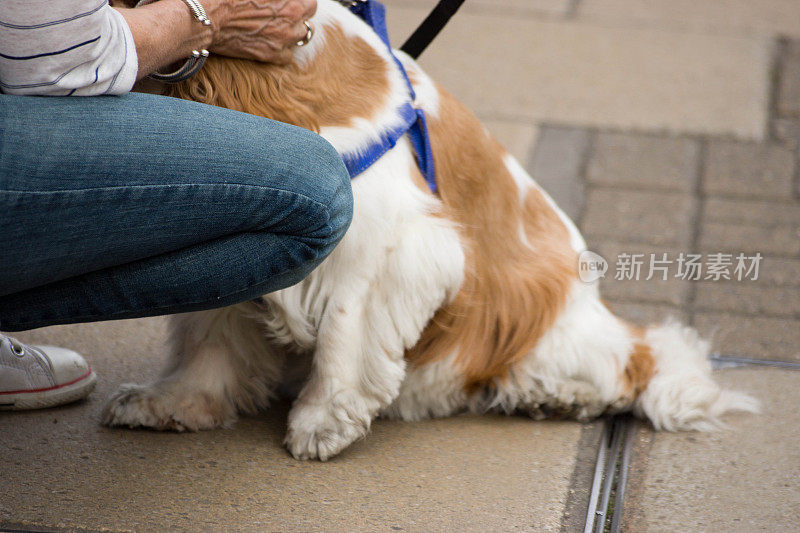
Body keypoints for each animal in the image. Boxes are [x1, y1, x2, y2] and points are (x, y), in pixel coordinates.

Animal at [103, 0, 760, 460]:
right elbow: (208, 336)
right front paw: (173, 402)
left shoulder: (385, 243)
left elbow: (343, 335)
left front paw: (322, 423)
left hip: (551, 318)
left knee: (634, 361)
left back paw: (556, 394)